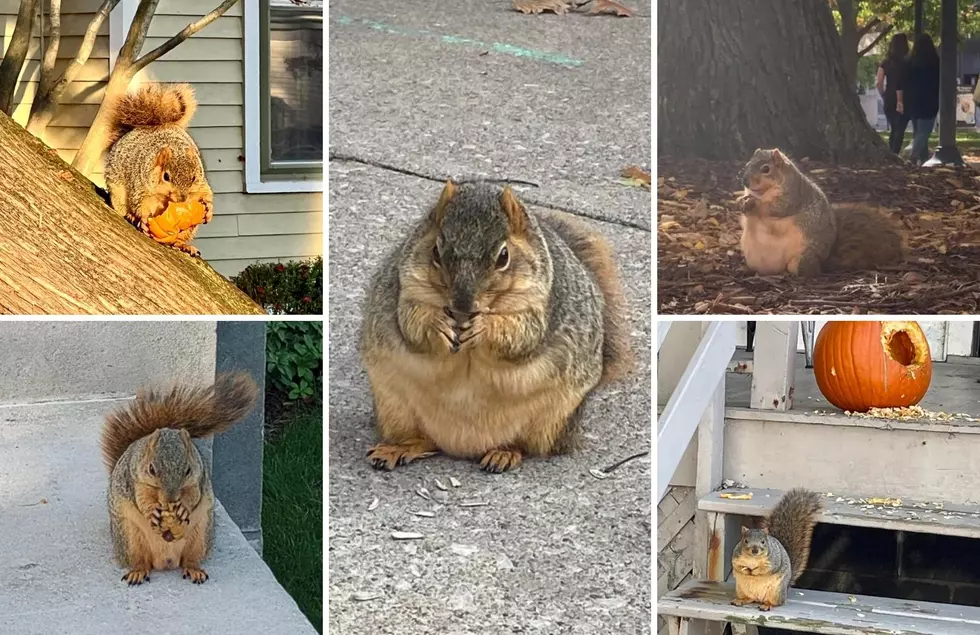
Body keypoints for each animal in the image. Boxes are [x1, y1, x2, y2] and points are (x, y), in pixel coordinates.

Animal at [101, 372, 258, 588]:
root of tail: (165, 561)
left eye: (188, 470)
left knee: (190, 559)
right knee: (140, 561)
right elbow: (142, 499)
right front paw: (152, 511)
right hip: (129, 537)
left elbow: (193, 495)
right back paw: (138, 572)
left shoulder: (198, 479)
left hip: (200, 534)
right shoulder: (134, 481)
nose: (170, 499)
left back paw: (194, 570)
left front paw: (183, 507)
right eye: (151, 469)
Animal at [103, 83, 214, 258]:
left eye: (193, 177)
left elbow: (205, 193)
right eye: (166, 176)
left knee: (179, 239)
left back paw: (183, 245)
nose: (182, 199)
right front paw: (142, 219)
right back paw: (131, 216)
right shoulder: (141, 186)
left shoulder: (200, 184)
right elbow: (142, 204)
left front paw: (209, 208)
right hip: (118, 195)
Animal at [362, 181, 636, 474]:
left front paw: (484, 326)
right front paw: (438, 323)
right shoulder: (406, 286)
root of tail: (461, 447)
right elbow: (411, 323)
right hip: (394, 406)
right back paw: (399, 448)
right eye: (435, 251)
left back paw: (504, 453)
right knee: (424, 441)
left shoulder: (540, 305)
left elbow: (522, 334)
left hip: (552, 419)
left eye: (503, 256)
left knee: (527, 446)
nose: (462, 305)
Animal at [736, 149, 904, 278]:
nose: (745, 182)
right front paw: (740, 201)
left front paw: (754, 204)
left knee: (809, 272)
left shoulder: (794, 196)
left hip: (803, 258)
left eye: (766, 169)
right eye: (747, 165)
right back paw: (745, 270)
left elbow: (777, 208)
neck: (762, 193)